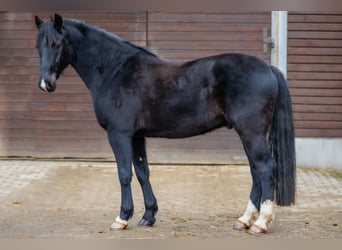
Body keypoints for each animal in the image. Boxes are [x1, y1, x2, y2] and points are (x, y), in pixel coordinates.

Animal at [35, 14, 296, 235]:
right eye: (39, 46)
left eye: (57, 44)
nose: (46, 84)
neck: (114, 70)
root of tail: (268, 68)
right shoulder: (137, 136)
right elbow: (142, 172)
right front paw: (148, 216)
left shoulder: (119, 134)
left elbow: (124, 174)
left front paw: (122, 218)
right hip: (249, 135)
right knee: (255, 172)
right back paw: (244, 220)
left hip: (252, 134)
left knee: (265, 169)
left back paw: (260, 223)